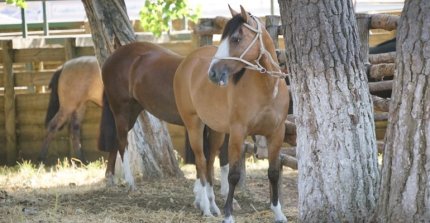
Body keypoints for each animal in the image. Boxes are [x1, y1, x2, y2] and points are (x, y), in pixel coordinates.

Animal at [174, 5, 288, 223]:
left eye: (235, 38)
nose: (212, 74)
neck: (268, 88)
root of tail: (187, 61)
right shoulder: (237, 133)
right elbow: (233, 175)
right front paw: (229, 216)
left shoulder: (277, 133)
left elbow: (273, 172)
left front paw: (278, 213)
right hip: (194, 125)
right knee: (201, 162)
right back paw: (206, 208)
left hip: (217, 130)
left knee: (210, 162)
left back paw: (212, 205)